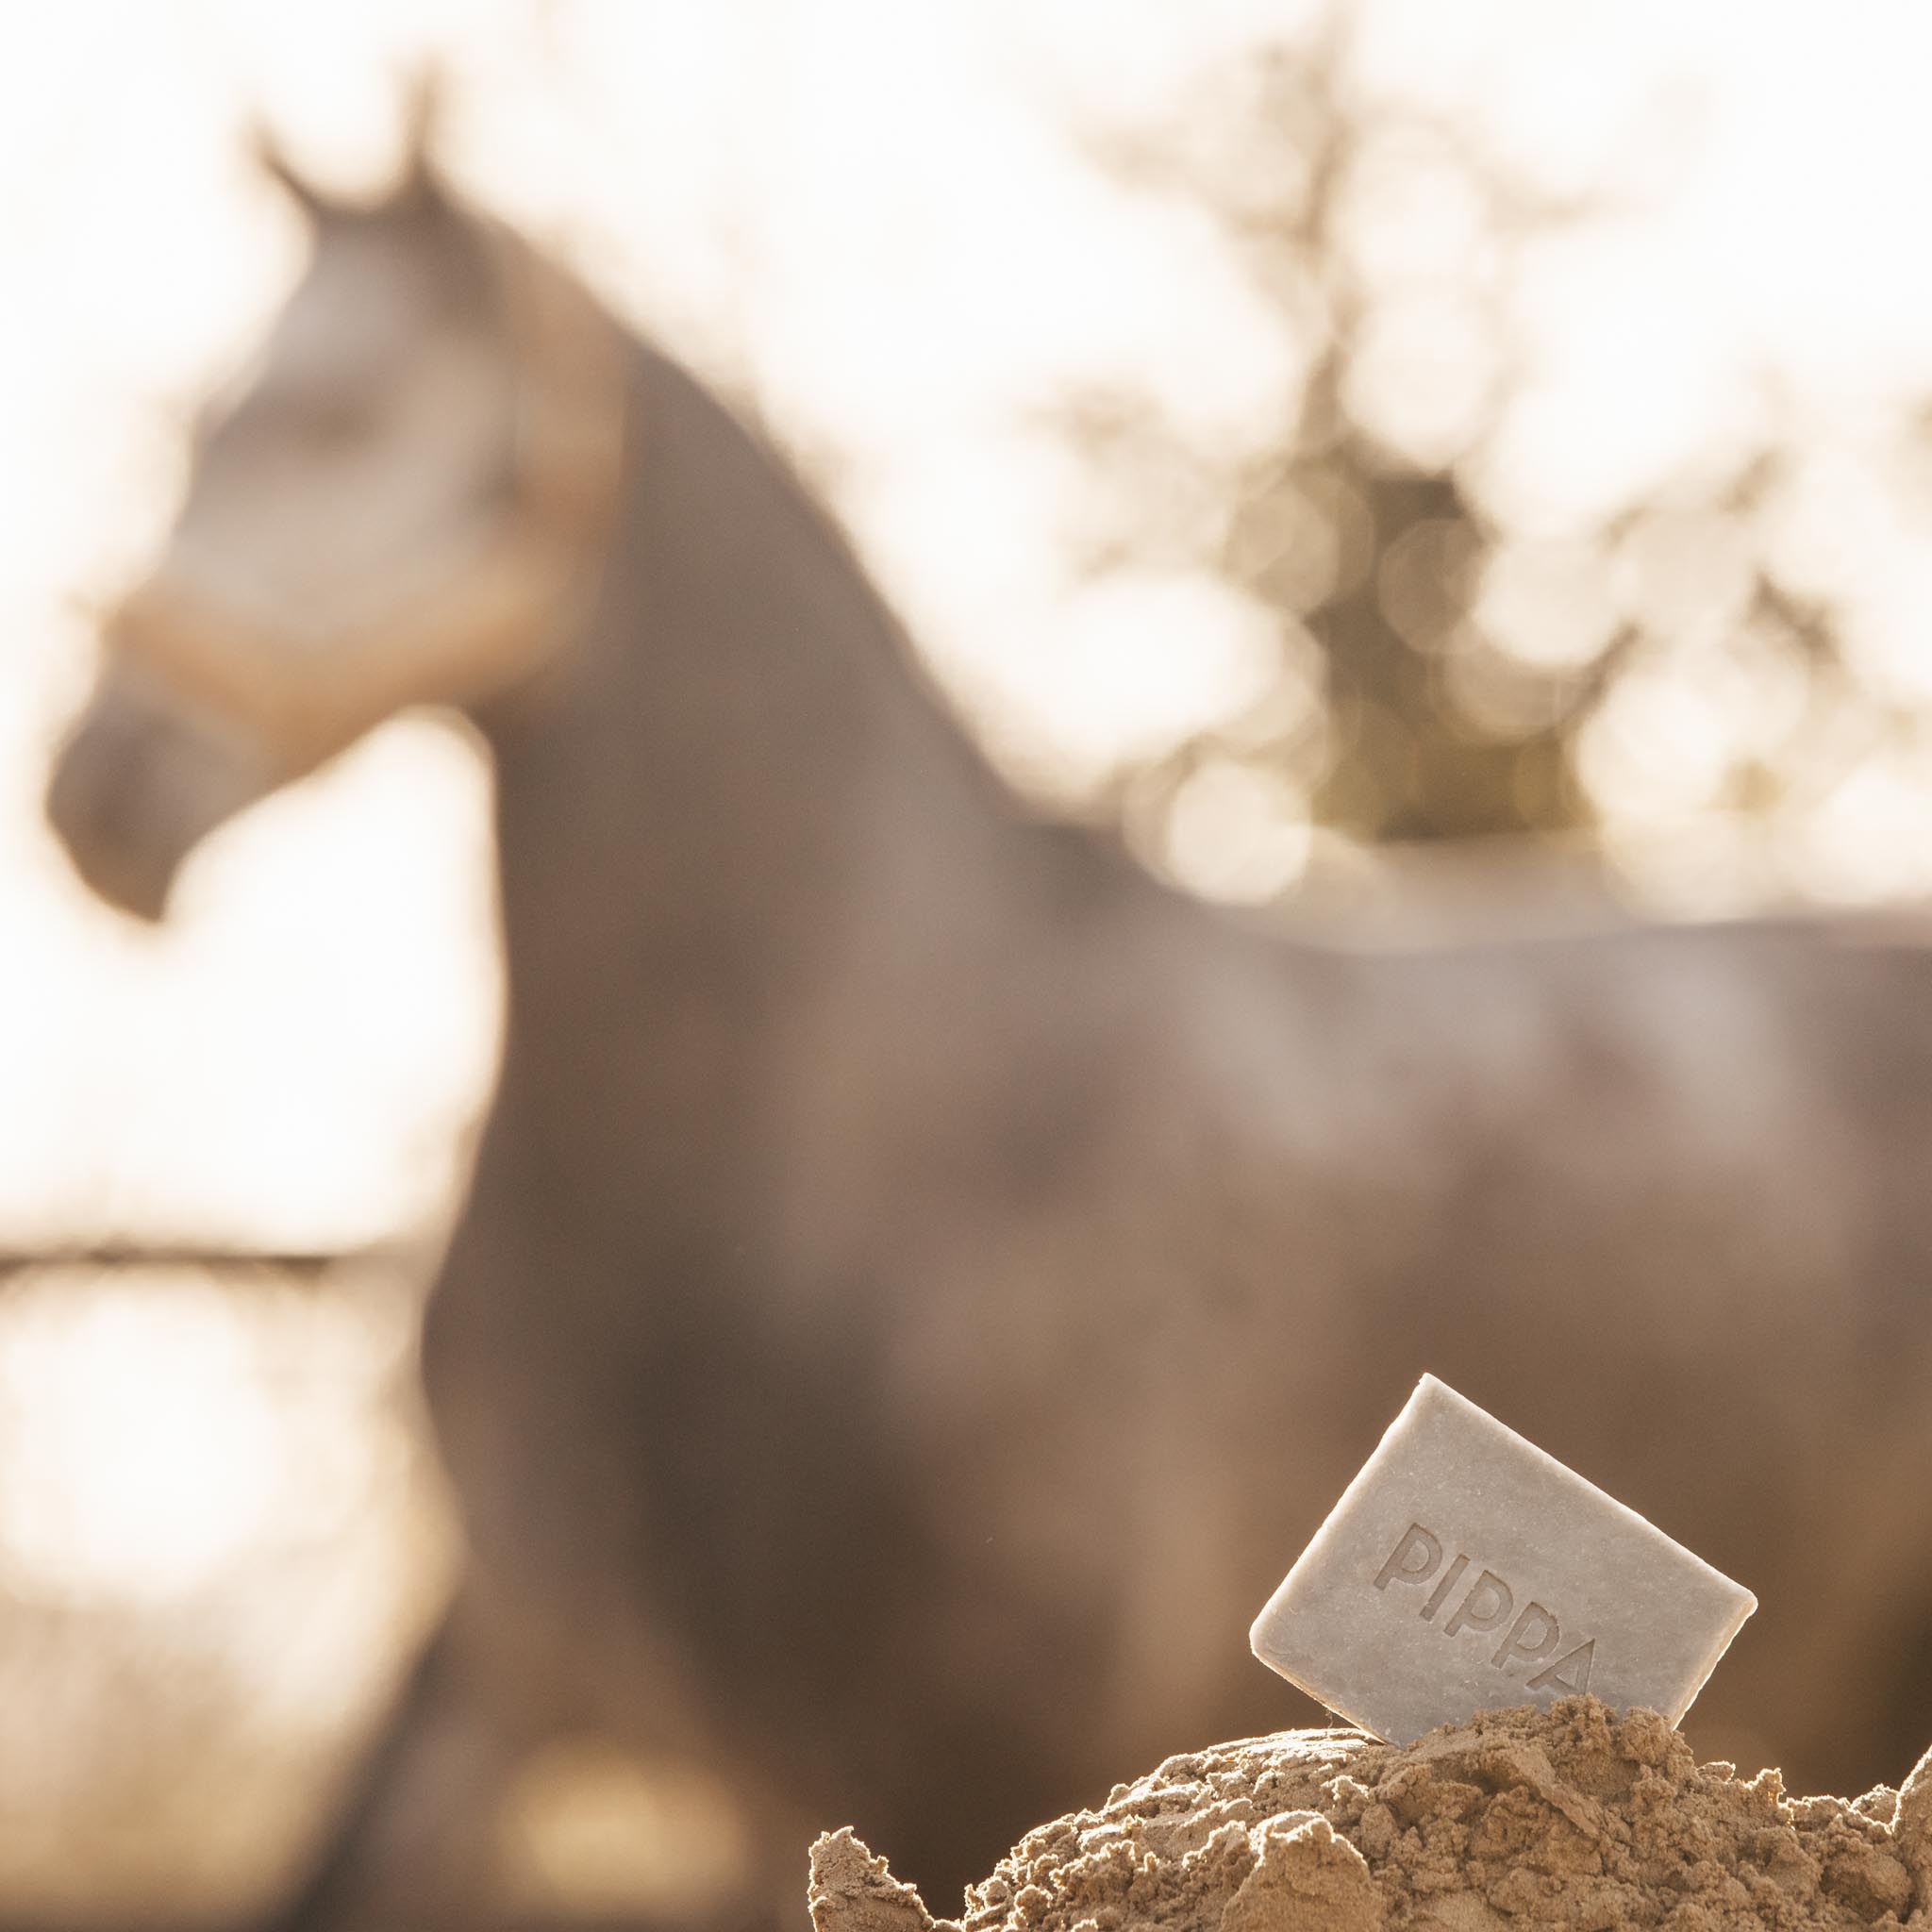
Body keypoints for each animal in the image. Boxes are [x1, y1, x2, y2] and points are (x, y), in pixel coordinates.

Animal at [43, 143, 1932, 1931]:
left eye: (338, 416)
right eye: (201, 419)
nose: (100, 794)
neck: (834, 1106)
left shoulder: (957, 1743)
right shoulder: (513, 1683)